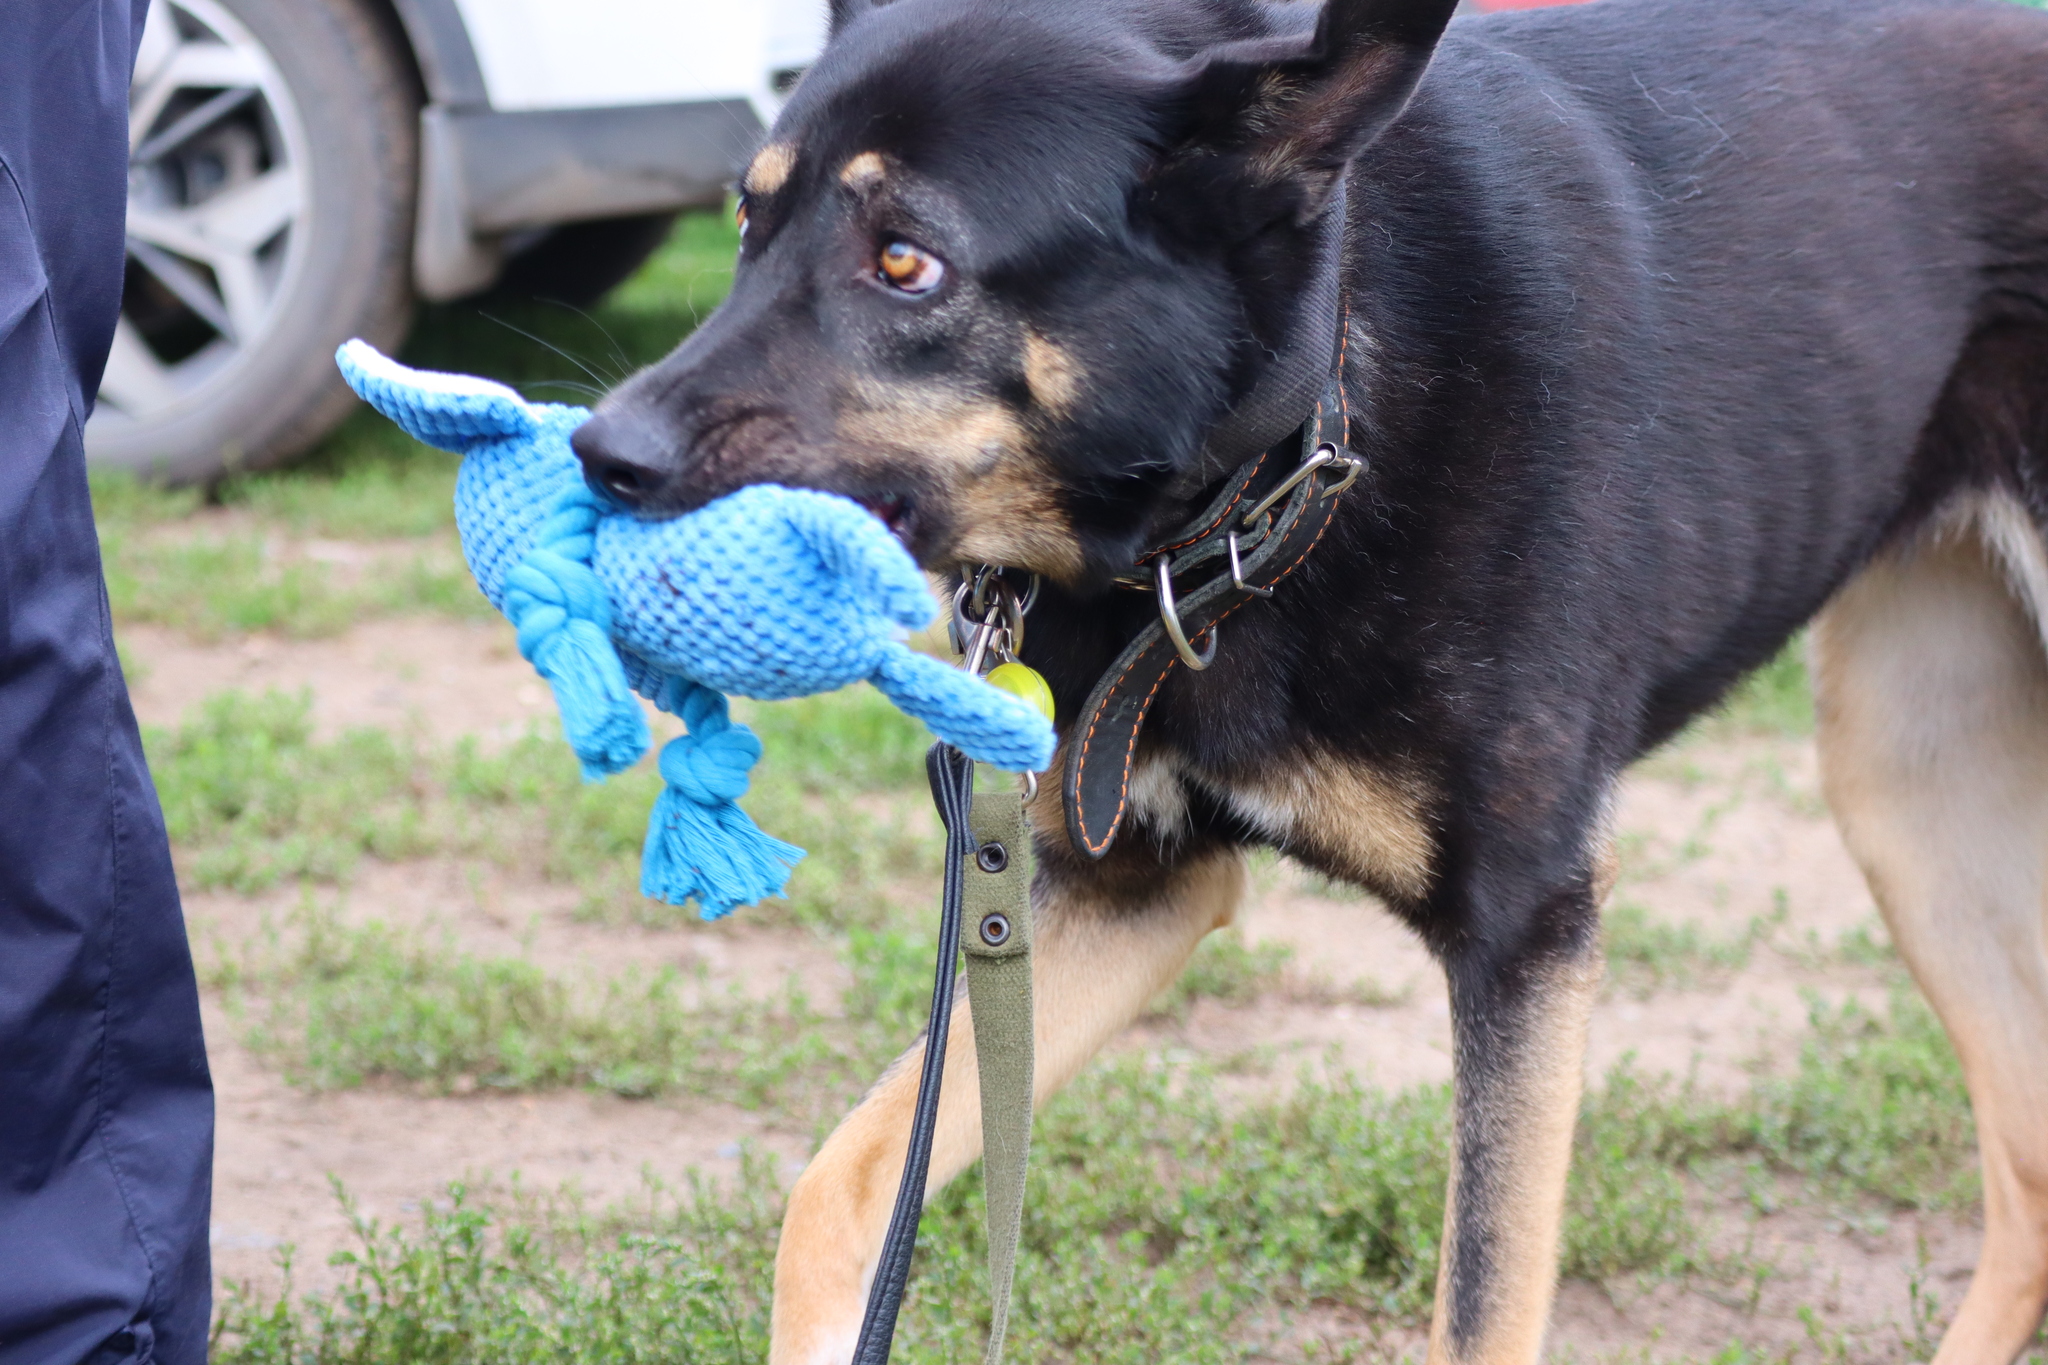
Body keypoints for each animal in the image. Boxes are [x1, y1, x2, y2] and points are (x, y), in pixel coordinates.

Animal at [569, 0, 2048, 1358]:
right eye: (748, 222)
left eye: (903, 260)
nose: (602, 454)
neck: (1286, 455)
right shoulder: (1121, 892)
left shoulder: (1526, 934)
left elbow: (1479, 1309)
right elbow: (841, 1188)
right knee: (2028, 1168)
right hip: (1907, 793)